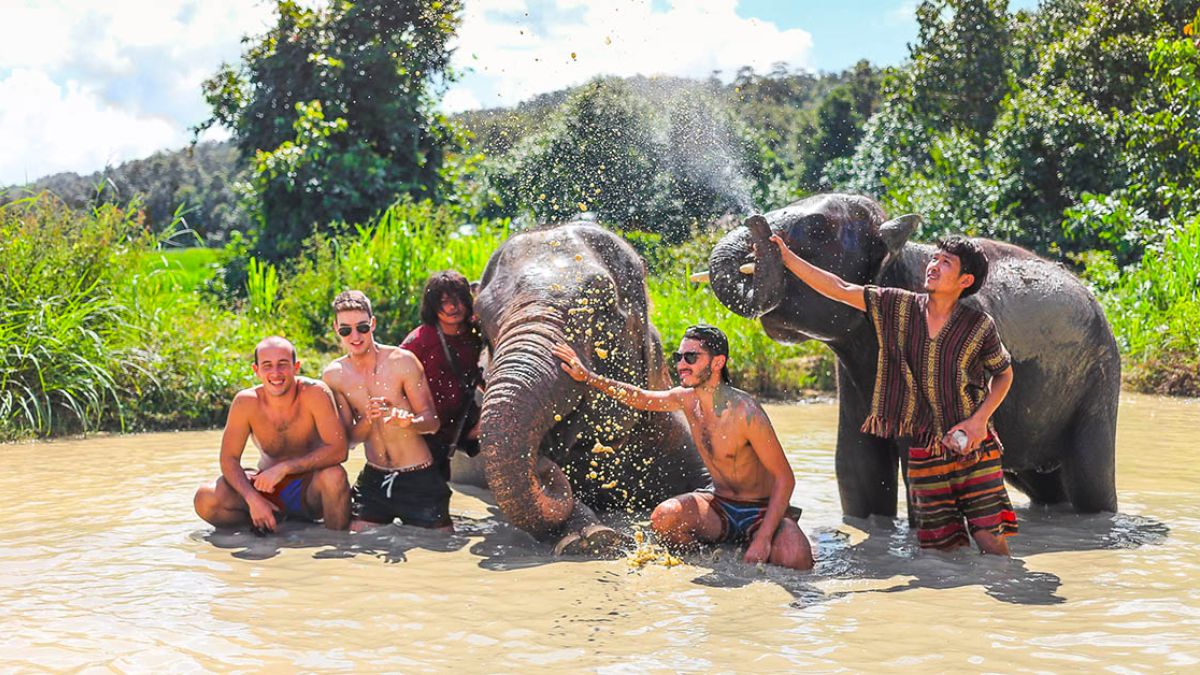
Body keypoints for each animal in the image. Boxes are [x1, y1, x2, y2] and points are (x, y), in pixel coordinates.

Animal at [705, 193, 1119, 519]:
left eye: (819, 228)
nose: (755, 221)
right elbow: (858, 470)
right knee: (1046, 486)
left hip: (1098, 380)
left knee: (1090, 480)